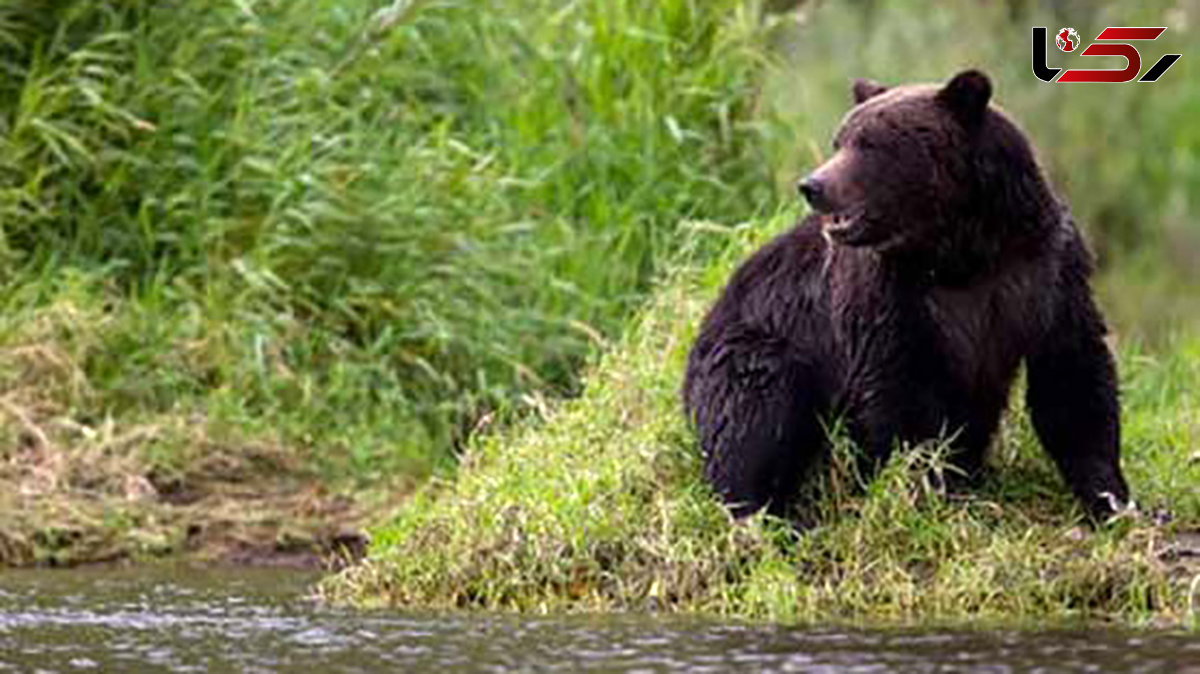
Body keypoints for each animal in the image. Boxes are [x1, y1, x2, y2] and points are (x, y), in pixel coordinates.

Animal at [691, 69, 1128, 520]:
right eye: (839, 140)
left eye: (869, 144)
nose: (813, 185)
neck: (962, 252)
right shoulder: (890, 294)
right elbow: (899, 394)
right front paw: (929, 487)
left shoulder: (1043, 273)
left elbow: (1072, 375)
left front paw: (1111, 497)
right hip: (755, 341)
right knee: (755, 408)